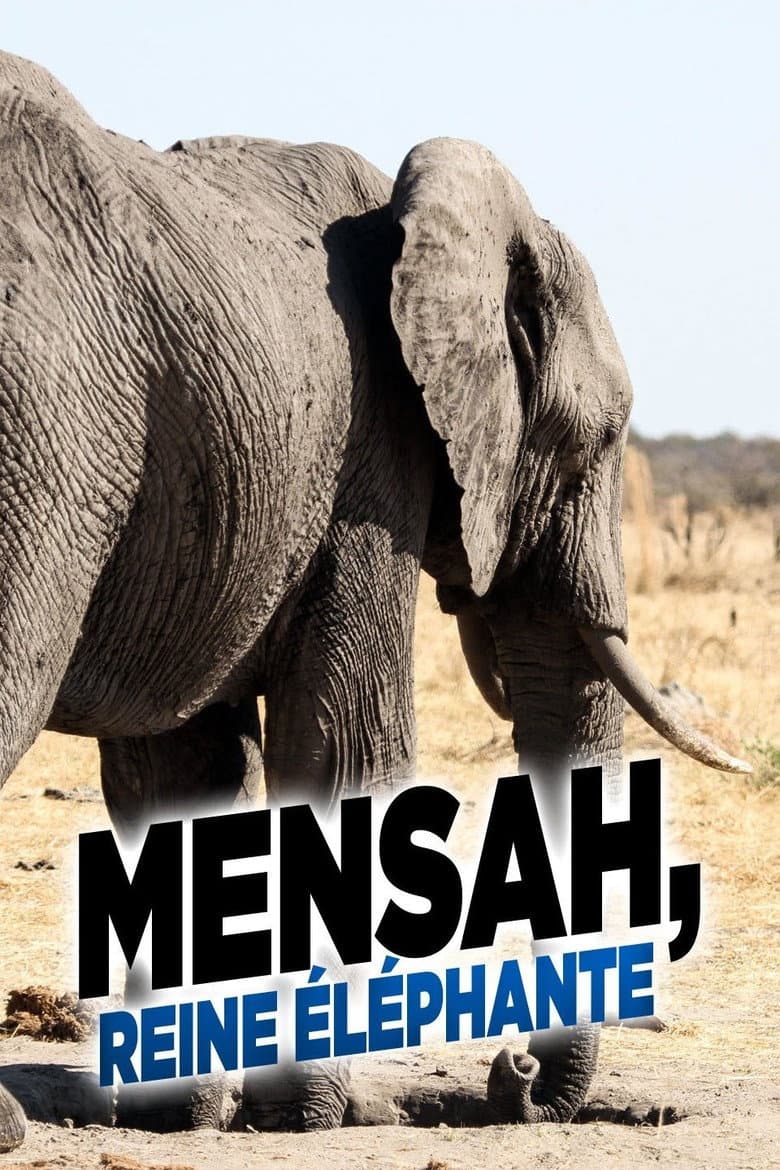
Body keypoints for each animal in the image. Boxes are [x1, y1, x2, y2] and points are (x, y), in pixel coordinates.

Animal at [0, 50, 750, 1149]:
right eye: (603, 440)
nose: (514, 1071)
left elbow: (183, 774)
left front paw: (194, 1114)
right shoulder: (370, 463)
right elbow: (345, 750)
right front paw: (317, 1115)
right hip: (46, 418)